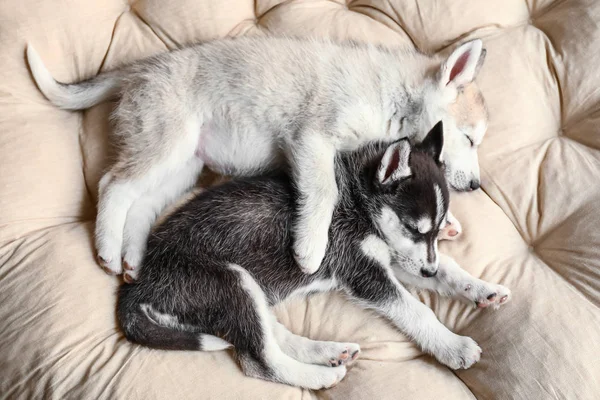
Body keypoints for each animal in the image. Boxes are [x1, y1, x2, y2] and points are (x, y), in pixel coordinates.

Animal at [25, 35, 490, 278]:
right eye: (468, 139)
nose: (476, 185)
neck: (391, 95)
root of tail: (140, 67)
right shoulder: (312, 139)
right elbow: (325, 192)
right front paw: (310, 248)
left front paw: (449, 221)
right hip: (165, 147)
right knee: (114, 185)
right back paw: (107, 247)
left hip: (182, 167)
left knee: (140, 205)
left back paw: (132, 258)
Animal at [118, 122, 510, 390]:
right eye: (415, 228)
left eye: (438, 227)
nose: (427, 273)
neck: (358, 201)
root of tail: (138, 285)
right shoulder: (364, 271)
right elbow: (417, 310)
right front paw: (453, 346)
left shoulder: (392, 256)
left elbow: (449, 269)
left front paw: (481, 288)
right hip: (230, 281)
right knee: (261, 361)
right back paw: (321, 376)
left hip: (241, 294)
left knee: (270, 338)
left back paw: (327, 352)